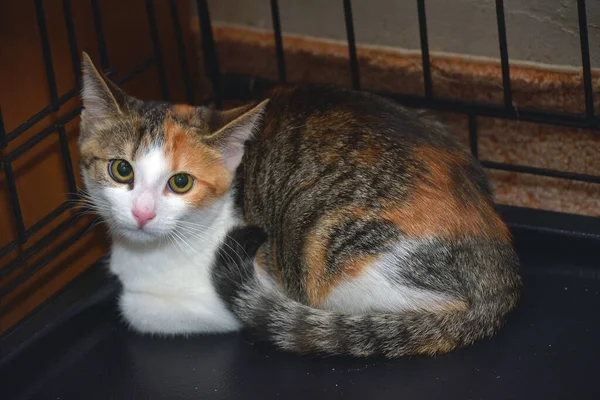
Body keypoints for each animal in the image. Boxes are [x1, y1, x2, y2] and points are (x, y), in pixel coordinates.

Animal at [79, 51, 520, 358]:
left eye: (181, 182)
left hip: (327, 253)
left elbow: (135, 308)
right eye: (121, 170)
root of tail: (502, 276)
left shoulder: (222, 301)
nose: (142, 213)